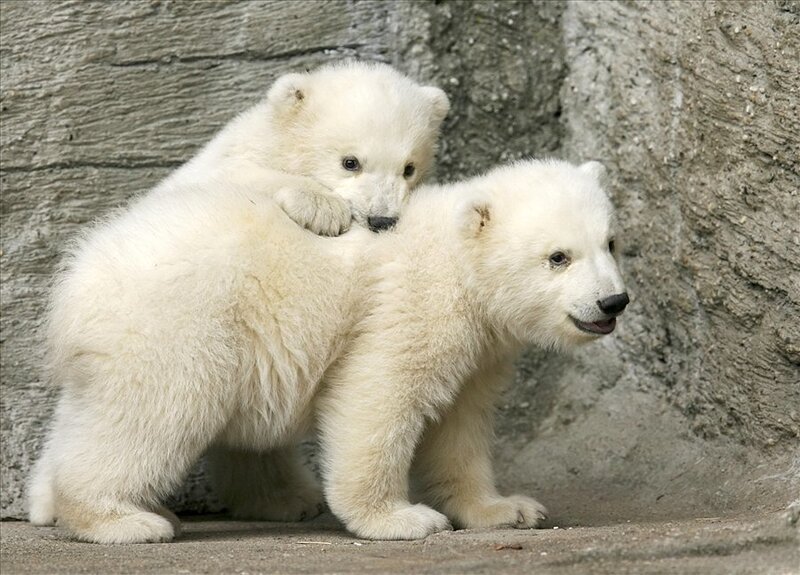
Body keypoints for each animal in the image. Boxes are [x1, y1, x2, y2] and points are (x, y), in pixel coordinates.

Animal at [27, 61, 450, 543]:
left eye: (409, 167)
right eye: (350, 161)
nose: (382, 219)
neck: (276, 143)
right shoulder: (225, 167)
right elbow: (250, 179)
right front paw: (322, 208)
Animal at [314, 159, 629, 539]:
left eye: (610, 243)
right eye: (558, 257)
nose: (613, 301)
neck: (457, 258)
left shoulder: (476, 353)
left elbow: (459, 421)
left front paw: (506, 509)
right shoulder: (414, 305)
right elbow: (379, 392)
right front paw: (399, 518)